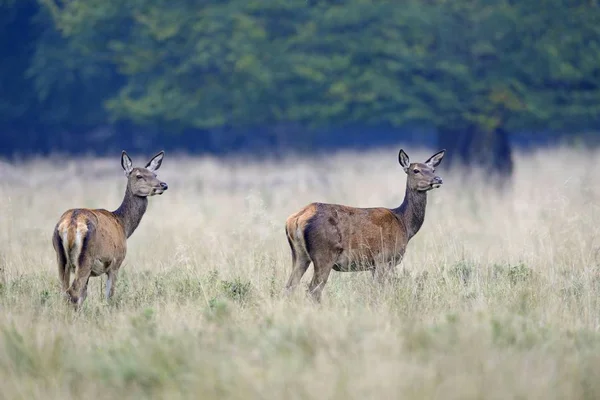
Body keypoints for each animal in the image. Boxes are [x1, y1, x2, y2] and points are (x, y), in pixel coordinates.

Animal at [51, 152, 168, 308]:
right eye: (138, 176)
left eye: (155, 174)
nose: (163, 185)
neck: (123, 226)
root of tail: (70, 224)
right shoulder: (116, 263)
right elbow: (110, 296)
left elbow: (85, 295)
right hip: (86, 258)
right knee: (73, 292)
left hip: (61, 259)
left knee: (65, 292)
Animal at [284, 148, 446, 302]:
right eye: (415, 170)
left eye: (433, 169)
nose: (438, 179)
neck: (404, 224)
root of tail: (297, 219)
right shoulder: (384, 259)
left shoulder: (374, 265)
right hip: (324, 253)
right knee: (313, 290)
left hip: (299, 254)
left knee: (290, 286)